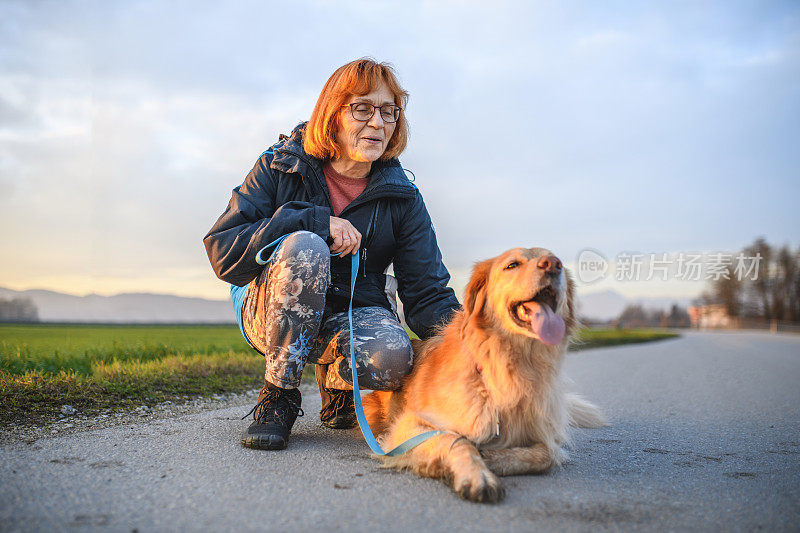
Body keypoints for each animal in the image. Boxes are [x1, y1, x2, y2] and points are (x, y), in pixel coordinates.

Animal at [362, 247, 608, 500]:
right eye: (512, 265)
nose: (553, 264)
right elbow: (457, 439)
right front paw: (475, 474)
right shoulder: (410, 426)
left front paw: (492, 459)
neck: (507, 367)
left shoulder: (543, 434)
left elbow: (547, 454)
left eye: (557, 261)